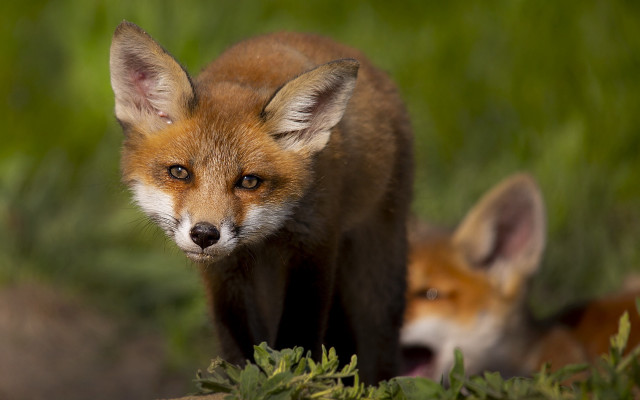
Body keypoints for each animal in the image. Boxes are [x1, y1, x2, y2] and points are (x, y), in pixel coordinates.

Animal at [109, 21, 413, 383]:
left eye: (249, 181)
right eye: (180, 172)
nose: (205, 234)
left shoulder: (315, 247)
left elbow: (297, 340)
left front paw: (288, 379)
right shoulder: (225, 276)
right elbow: (242, 349)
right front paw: (248, 380)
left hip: (374, 276)